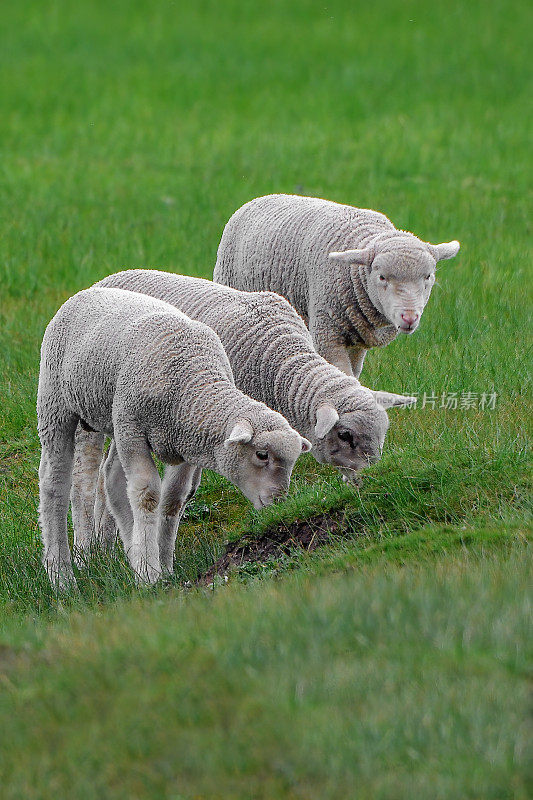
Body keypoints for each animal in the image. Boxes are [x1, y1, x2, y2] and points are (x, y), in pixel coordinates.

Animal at [37, 288, 310, 588]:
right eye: (261, 455)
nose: (279, 501)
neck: (192, 377)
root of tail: (87, 291)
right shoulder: (133, 431)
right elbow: (147, 496)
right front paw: (149, 574)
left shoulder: (187, 442)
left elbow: (173, 499)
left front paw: (162, 567)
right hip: (56, 403)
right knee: (55, 484)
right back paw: (61, 575)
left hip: (111, 417)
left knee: (112, 479)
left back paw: (131, 551)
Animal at [212, 195, 458, 380]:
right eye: (381, 277)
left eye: (428, 277)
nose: (409, 317)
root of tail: (258, 199)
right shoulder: (327, 332)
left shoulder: (359, 339)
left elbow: (354, 375)